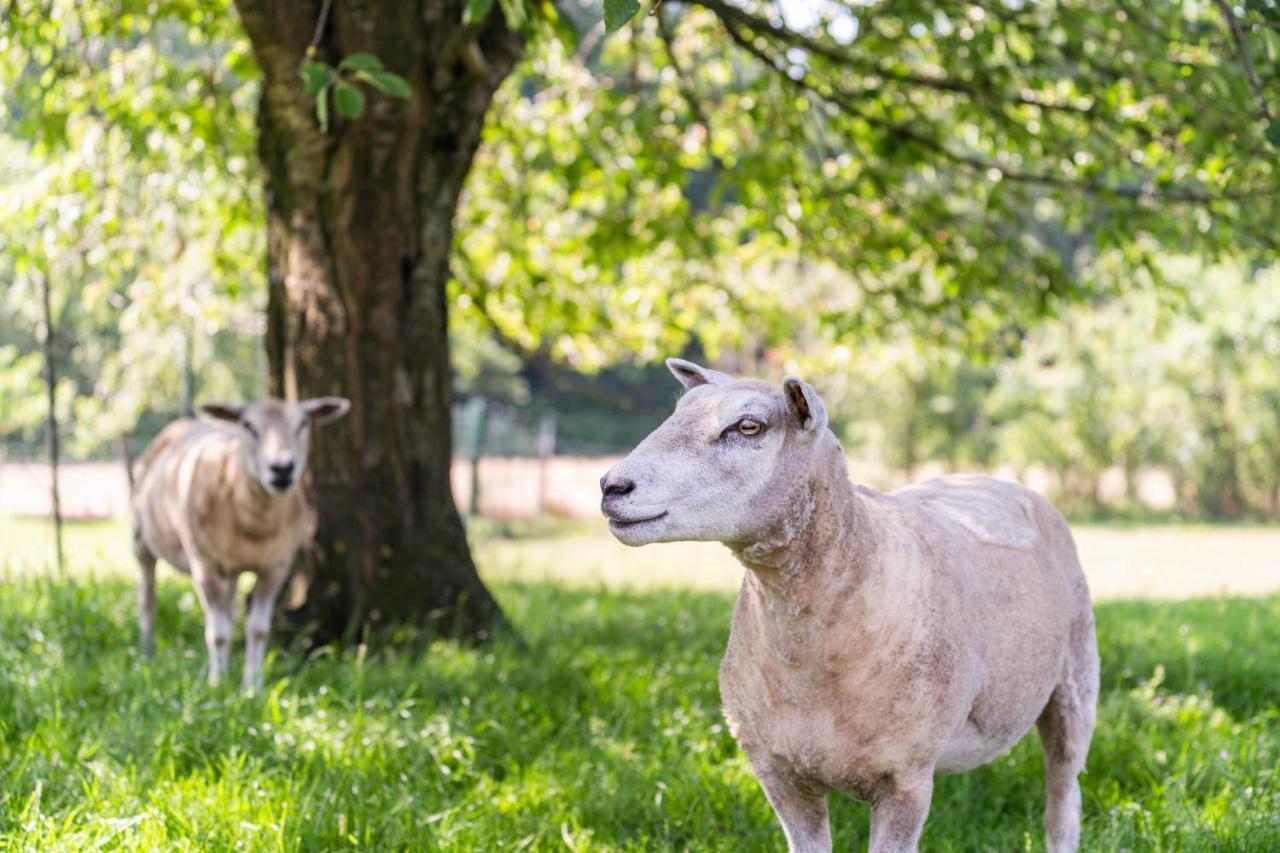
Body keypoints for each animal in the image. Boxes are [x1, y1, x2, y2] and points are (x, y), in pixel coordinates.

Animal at [131, 394, 350, 686]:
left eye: (302, 423)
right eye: (248, 426)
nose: (282, 469)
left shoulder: (276, 567)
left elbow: (257, 629)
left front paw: (252, 685)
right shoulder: (205, 564)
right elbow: (217, 632)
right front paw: (217, 683)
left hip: (233, 569)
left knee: (230, 611)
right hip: (141, 539)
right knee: (147, 598)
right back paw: (147, 652)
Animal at [601, 361, 1100, 850]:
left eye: (748, 426)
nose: (611, 485)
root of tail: (994, 478)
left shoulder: (905, 781)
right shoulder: (780, 775)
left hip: (1075, 683)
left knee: (1062, 799)